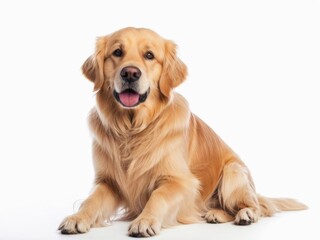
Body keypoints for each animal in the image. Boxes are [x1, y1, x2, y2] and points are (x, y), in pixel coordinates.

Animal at [58, 27, 308, 237]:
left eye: (149, 55)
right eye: (117, 52)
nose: (130, 73)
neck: (133, 129)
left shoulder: (182, 182)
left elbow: (158, 195)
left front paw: (145, 220)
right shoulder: (108, 182)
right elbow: (91, 200)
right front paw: (77, 218)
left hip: (233, 173)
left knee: (253, 205)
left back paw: (244, 214)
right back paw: (215, 214)